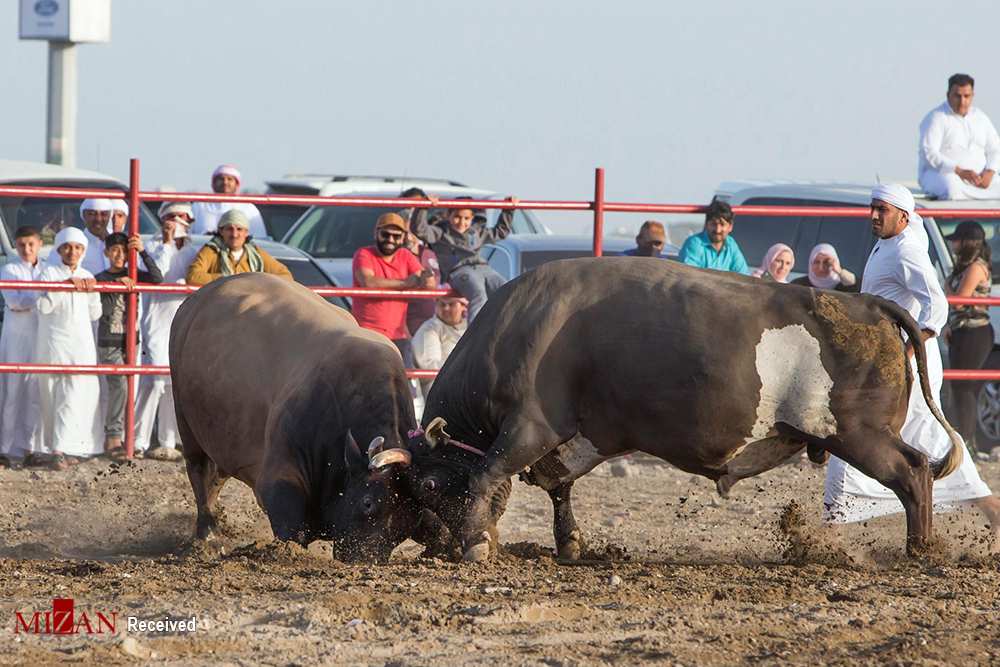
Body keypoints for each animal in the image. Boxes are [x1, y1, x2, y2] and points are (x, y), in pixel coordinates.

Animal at [168, 274, 422, 560]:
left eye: (407, 521)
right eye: (368, 503)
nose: (364, 560)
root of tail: (197, 299)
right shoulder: (280, 475)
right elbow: (292, 527)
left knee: (215, 479)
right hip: (187, 425)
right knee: (199, 473)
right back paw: (208, 535)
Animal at [402, 258, 964, 560]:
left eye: (426, 485)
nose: (431, 544)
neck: (524, 328)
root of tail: (866, 303)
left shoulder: (530, 427)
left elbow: (484, 476)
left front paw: (475, 544)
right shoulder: (575, 440)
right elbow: (560, 488)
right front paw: (569, 544)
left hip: (859, 434)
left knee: (914, 472)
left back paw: (921, 549)